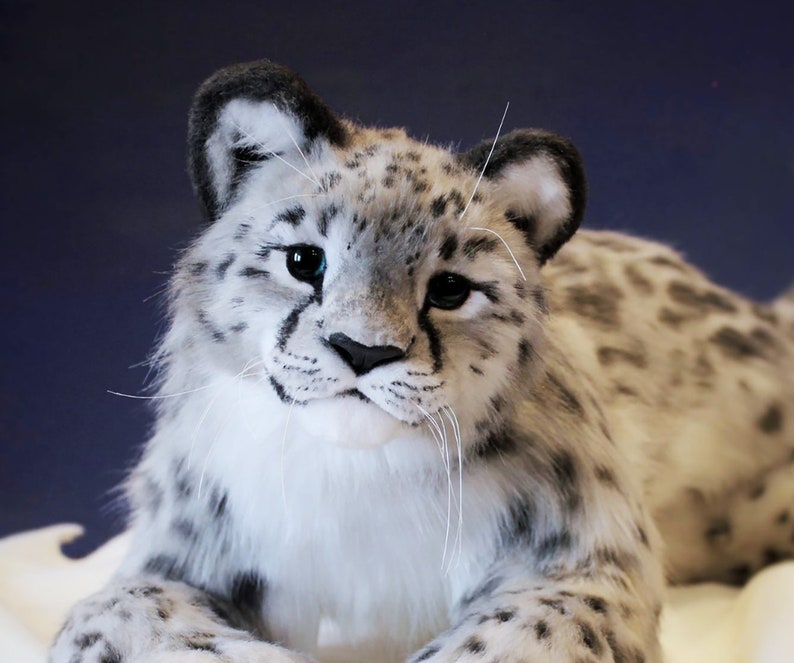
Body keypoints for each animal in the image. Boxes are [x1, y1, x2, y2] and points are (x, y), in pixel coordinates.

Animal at [50, 60, 794, 663]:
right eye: (304, 259)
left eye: (450, 288)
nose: (364, 349)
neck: (351, 491)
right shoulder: (174, 547)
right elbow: (112, 613)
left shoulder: (583, 560)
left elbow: (523, 634)